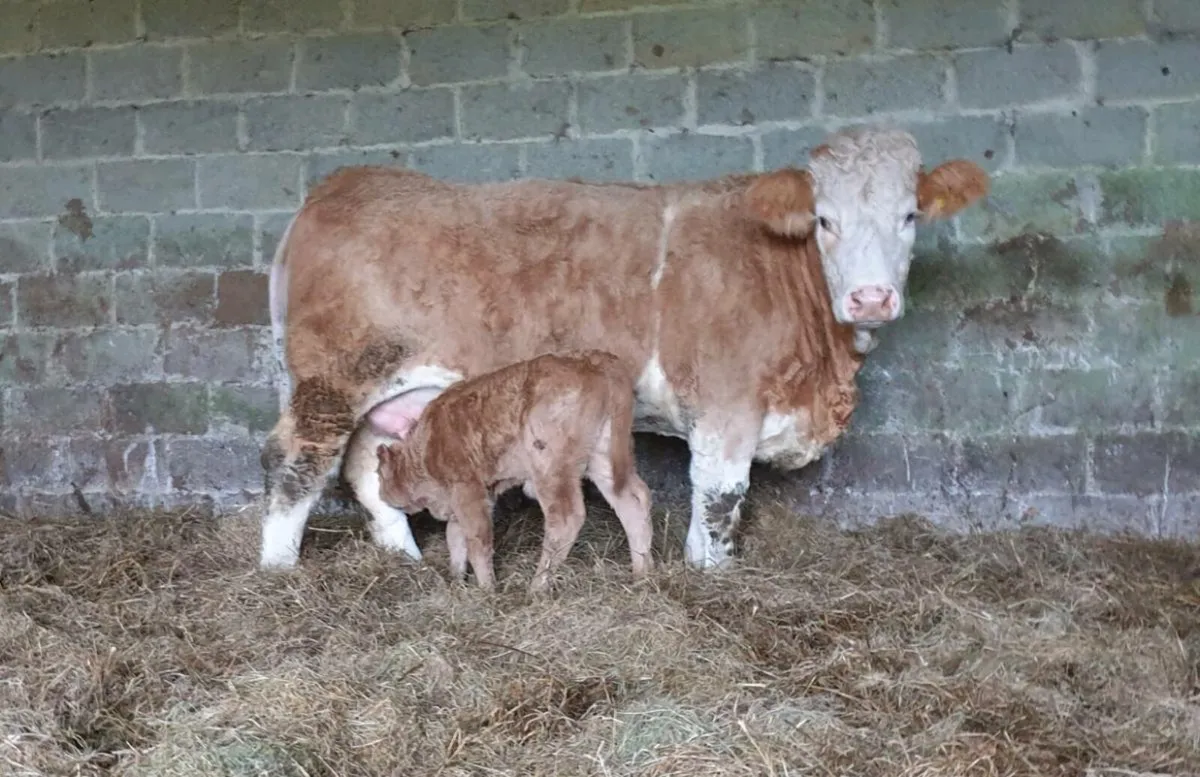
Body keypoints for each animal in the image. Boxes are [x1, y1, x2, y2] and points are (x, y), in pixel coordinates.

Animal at [370, 349, 653, 593]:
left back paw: (537, 587)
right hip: (605, 456)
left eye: (379, 475)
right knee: (633, 500)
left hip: (551, 466)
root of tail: (597, 360)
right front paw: (456, 579)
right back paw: (642, 573)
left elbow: (477, 540)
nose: (381, 494)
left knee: (565, 517)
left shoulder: (467, 489)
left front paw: (487, 589)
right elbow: (455, 537)